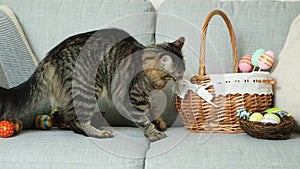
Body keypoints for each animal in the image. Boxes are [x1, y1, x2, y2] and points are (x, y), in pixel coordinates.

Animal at [0, 28, 185, 141]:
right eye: (177, 74)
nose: (182, 79)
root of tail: (52, 54)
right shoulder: (132, 98)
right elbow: (143, 119)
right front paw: (154, 133)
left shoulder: (147, 98)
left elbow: (153, 110)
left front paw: (159, 123)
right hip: (87, 90)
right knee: (75, 119)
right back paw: (99, 133)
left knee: (68, 117)